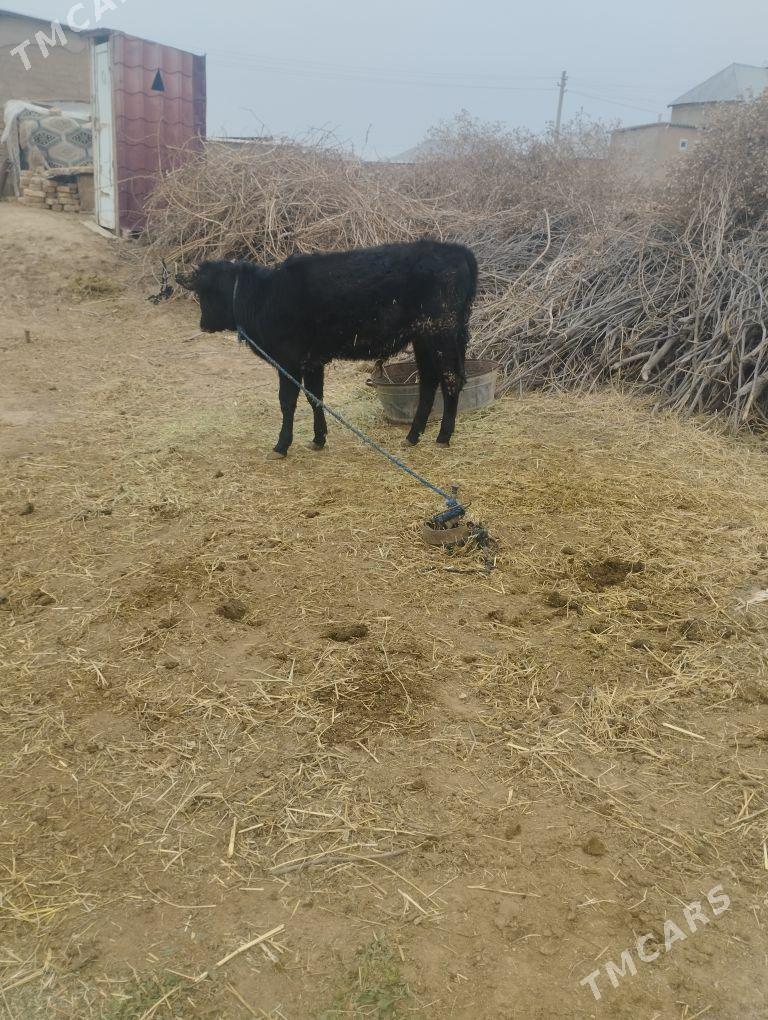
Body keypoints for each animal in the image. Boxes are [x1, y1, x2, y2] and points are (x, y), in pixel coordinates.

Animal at [176, 240, 478, 458]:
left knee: (452, 379)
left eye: (203, 292)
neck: (264, 297)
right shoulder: (312, 360)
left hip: (442, 332)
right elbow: (315, 398)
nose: (203, 324)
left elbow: (287, 402)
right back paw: (413, 436)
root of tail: (456, 250)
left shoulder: (288, 360)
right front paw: (318, 438)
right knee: (429, 381)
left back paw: (443, 437)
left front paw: (281, 446)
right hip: (423, 337)